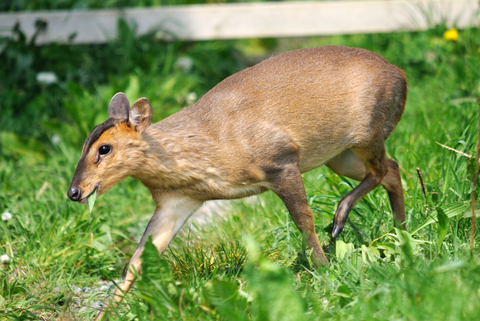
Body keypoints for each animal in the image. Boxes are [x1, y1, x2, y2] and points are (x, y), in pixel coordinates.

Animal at [66, 45, 404, 318]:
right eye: (82, 145)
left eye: (104, 148)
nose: (73, 192)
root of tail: (400, 74)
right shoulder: (175, 200)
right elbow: (138, 259)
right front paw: (105, 314)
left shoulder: (281, 160)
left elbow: (303, 220)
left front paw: (323, 269)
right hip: (338, 154)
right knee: (393, 169)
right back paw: (400, 232)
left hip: (367, 132)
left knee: (381, 169)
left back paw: (341, 219)